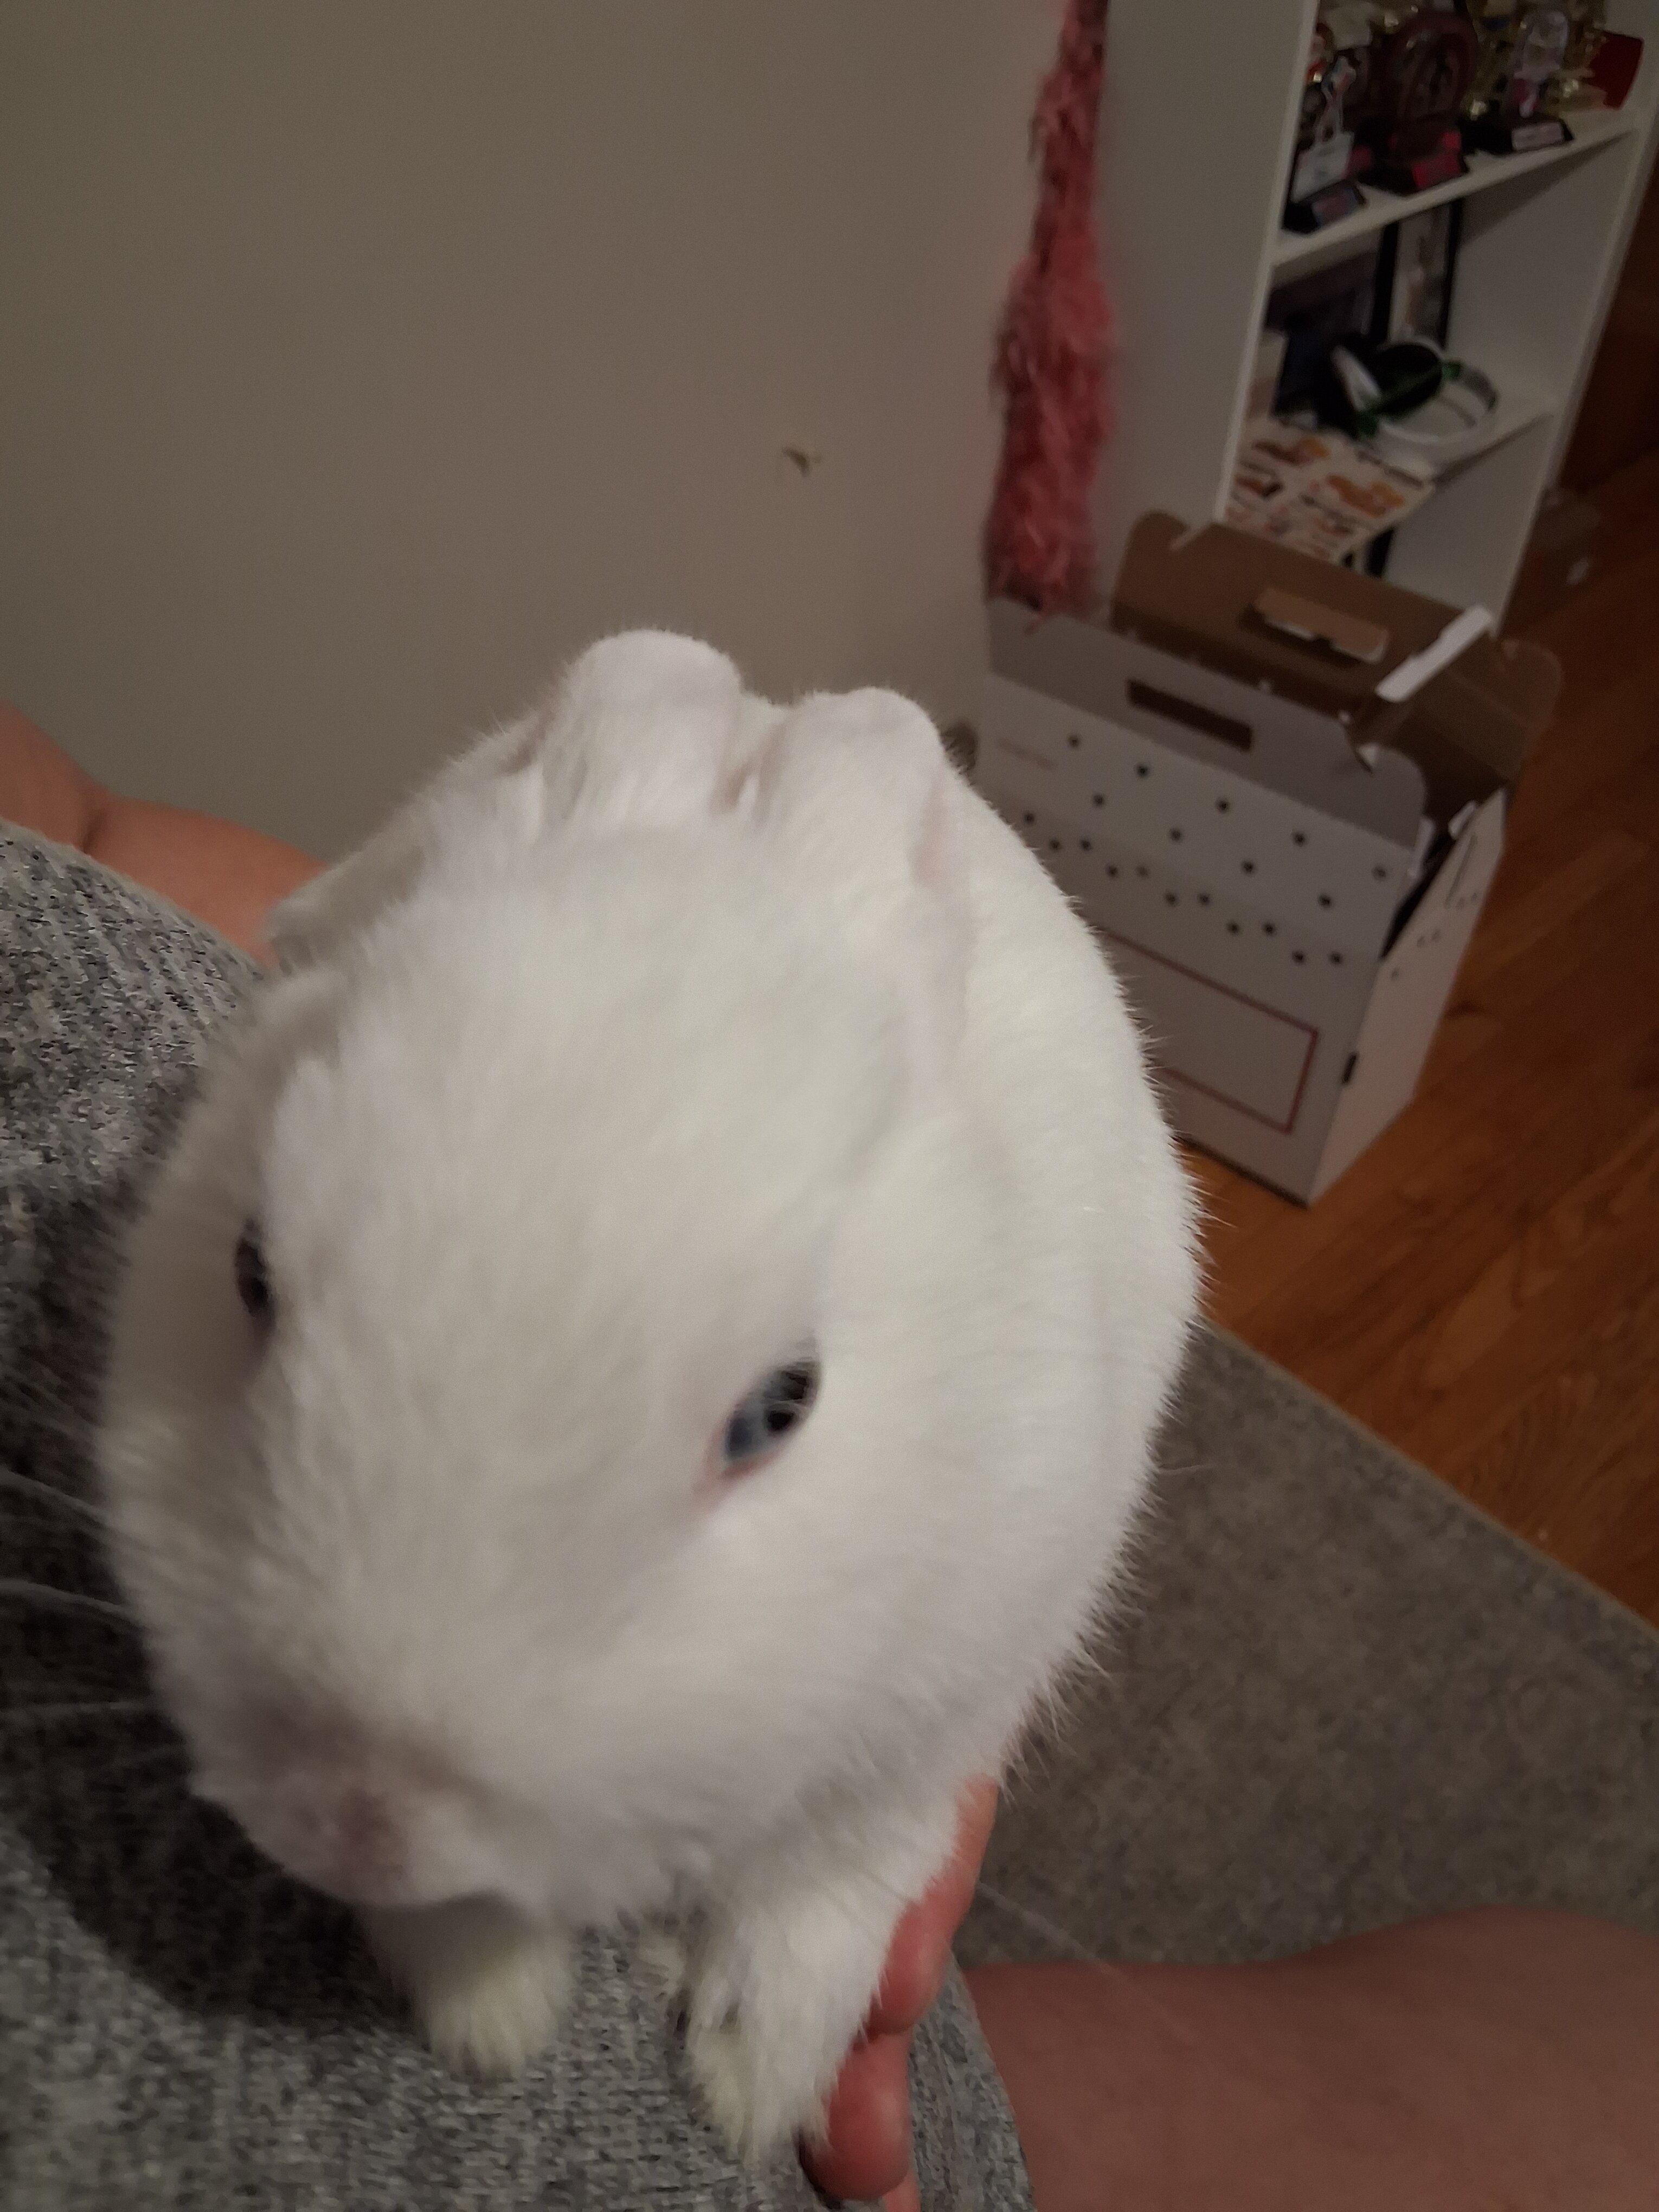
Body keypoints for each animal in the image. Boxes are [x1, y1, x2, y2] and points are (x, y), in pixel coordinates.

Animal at [96, 631, 1199, 2160]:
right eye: (250, 1269)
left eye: (780, 1408)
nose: (360, 1818)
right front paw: (490, 2008)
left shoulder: (946, 1701)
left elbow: (825, 1884)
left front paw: (751, 2079)